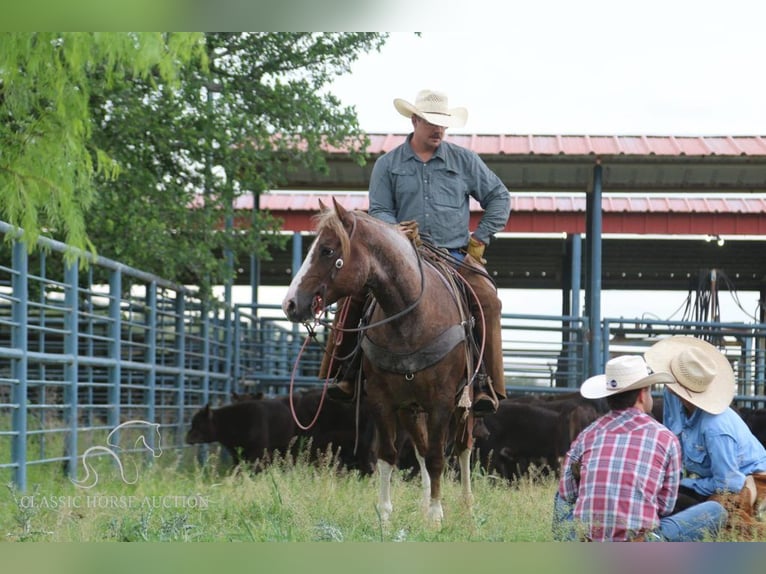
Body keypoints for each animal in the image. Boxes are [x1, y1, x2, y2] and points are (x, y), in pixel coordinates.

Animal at [282, 199, 474, 528]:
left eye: (327, 250)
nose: (290, 304)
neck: (412, 319)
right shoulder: (383, 401)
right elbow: (388, 456)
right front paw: (385, 517)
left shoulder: (442, 402)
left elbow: (438, 456)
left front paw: (437, 517)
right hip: (411, 409)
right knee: (422, 449)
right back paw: (425, 504)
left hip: (466, 405)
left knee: (462, 447)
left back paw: (467, 507)